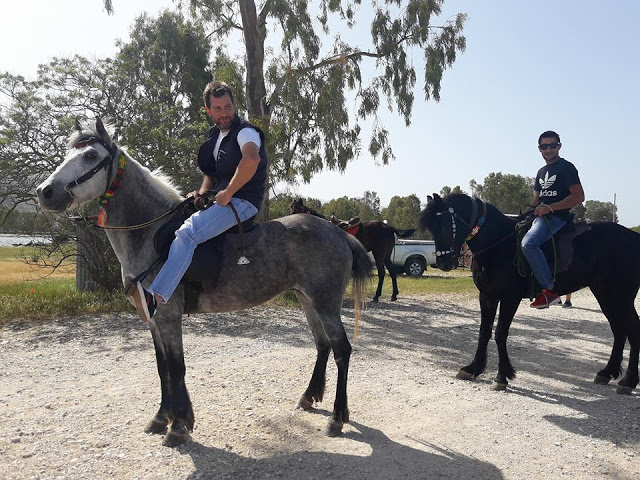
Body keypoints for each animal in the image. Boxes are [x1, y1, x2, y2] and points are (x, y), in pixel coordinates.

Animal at [36, 119, 370, 446]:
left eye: (91, 156)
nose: (45, 191)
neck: (151, 233)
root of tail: (339, 233)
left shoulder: (168, 316)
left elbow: (176, 367)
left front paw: (178, 425)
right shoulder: (153, 320)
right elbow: (162, 368)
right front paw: (162, 417)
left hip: (325, 303)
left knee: (342, 350)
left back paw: (337, 418)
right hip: (307, 299)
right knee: (322, 344)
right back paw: (309, 397)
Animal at [420, 194, 640, 394]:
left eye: (445, 226)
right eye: (431, 228)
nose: (444, 263)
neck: (499, 244)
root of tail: (633, 237)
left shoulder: (510, 298)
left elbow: (500, 333)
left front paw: (502, 376)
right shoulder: (487, 296)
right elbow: (484, 332)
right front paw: (473, 368)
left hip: (621, 296)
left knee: (632, 329)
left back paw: (628, 381)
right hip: (606, 294)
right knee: (619, 331)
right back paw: (607, 372)